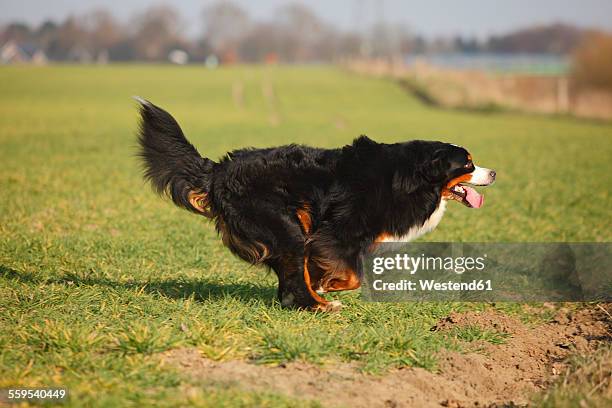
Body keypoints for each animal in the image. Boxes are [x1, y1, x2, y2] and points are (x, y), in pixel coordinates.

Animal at [136, 99, 494, 312]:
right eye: (467, 163)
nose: (493, 173)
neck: (412, 176)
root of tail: (219, 170)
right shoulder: (337, 233)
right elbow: (353, 275)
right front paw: (329, 284)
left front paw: (324, 280)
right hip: (286, 226)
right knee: (294, 281)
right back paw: (320, 305)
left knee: (288, 283)